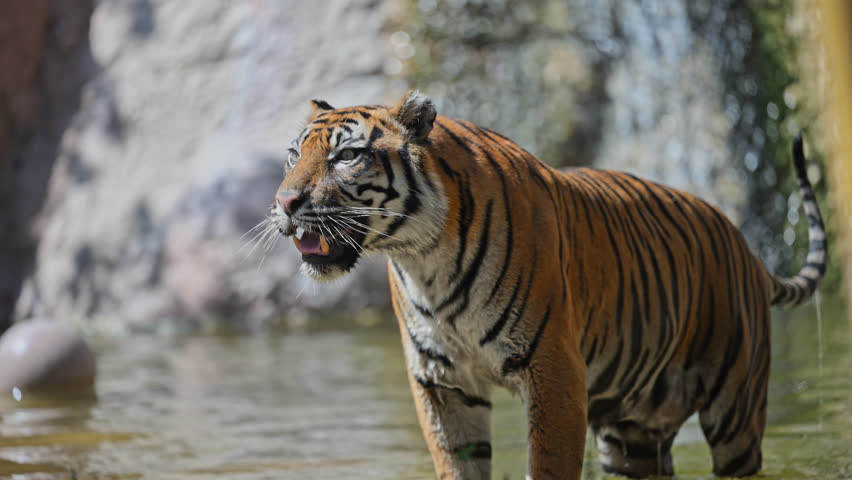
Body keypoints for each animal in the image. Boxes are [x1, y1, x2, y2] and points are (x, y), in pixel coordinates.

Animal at [270, 91, 827, 479]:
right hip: (633, 435)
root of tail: (745, 247)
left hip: (735, 407)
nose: (285, 202)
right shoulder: (441, 381)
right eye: (293, 155)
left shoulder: (552, 368)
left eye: (347, 157)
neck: (423, 258)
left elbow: (548, 463)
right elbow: (457, 460)